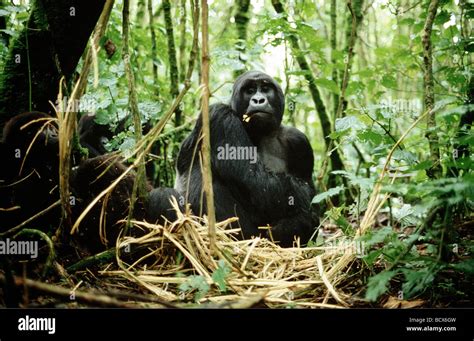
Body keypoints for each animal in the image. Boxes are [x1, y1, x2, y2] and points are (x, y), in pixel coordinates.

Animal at [172, 69, 316, 244]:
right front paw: (302, 195)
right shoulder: (220, 116)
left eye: (266, 89)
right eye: (250, 90)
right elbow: (256, 182)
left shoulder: (299, 141)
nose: (258, 100)